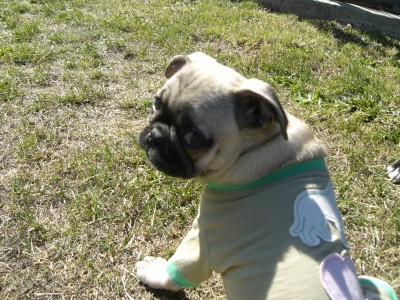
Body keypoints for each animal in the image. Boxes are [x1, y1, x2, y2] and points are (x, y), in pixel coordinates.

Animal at [137, 52, 368, 298]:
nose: (154, 136)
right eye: (156, 103)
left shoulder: (203, 242)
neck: (258, 148)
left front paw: (152, 270)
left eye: (193, 136)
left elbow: (174, 271)